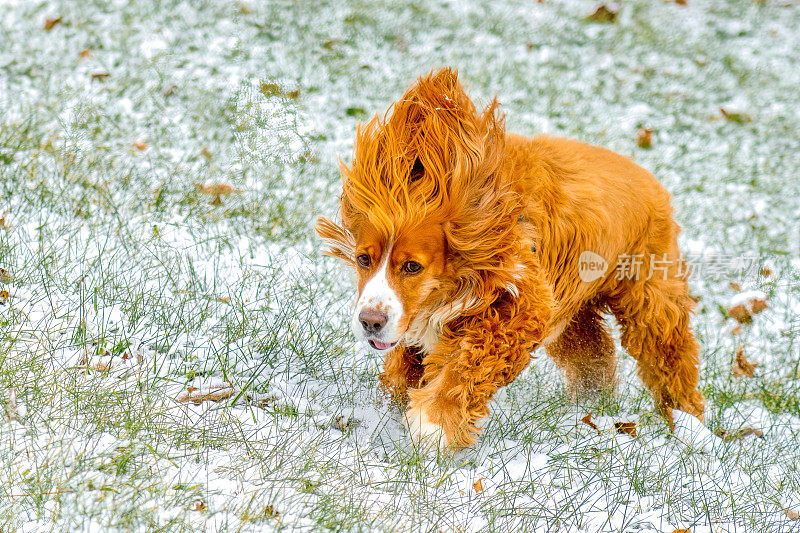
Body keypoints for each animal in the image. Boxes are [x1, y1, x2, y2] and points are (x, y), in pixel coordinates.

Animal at [316, 66, 704, 448]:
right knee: (593, 352)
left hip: (650, 299)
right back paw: (592, 407)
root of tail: (651, 180)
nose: (370, 322)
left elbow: (467, 365)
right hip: (574, 312)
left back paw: (688, 426)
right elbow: (405, 365)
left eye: (413, 266)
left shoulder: (520, 308)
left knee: (671, 357)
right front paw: (383, 412)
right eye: (363, 259)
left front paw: (434, 425)